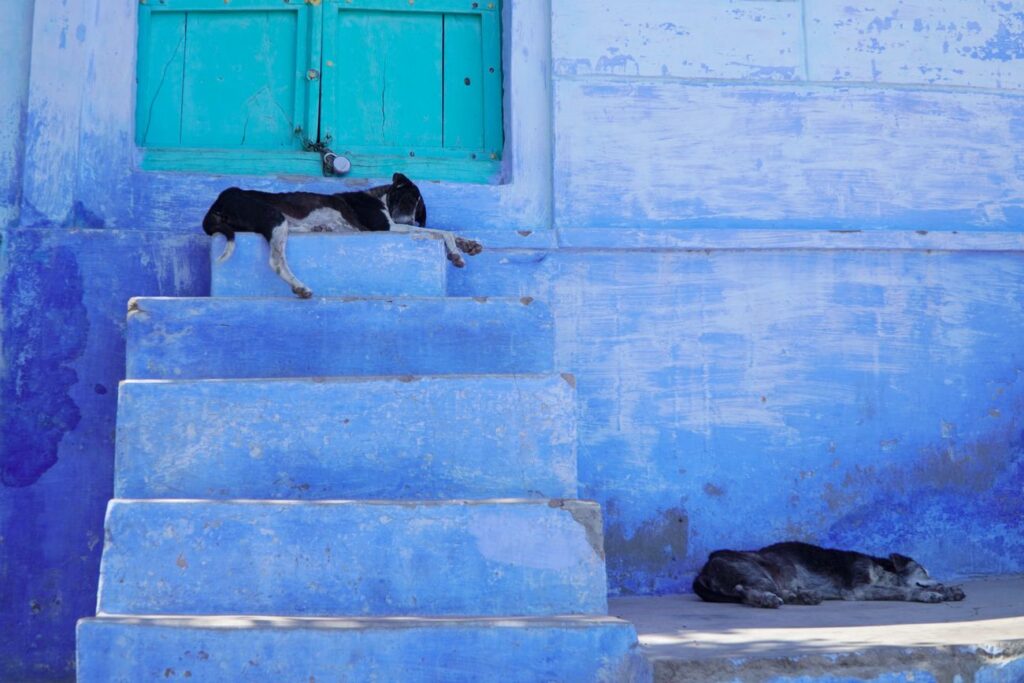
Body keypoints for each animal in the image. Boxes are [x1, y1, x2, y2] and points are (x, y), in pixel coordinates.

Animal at [205, 174, 485, 296]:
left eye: (418, 208)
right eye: (406, 200)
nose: (407, 218)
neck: (380, 197)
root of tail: (219, 201)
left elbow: (439, 231)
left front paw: (468, 245)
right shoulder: (385, 227)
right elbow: (441, 231)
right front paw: (455, 251)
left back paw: (321, 229)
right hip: (273, 217)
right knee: (276, 261)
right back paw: (299, 286)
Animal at [692, 540, 962, 610]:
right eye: (924, 570)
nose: (939, 580)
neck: (881, 569)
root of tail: (706, 566)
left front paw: (949, 589)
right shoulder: (859, 589)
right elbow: (905, 590)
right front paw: (930, 593)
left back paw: (801, 597)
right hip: (756, 572)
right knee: (745, 591)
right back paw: (768, 600)